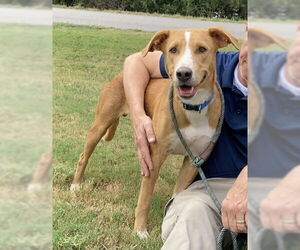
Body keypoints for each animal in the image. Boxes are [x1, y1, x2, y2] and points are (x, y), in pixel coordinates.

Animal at [70, 27, 239, 238]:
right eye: (173, 49)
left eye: (202, 49)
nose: (183, 73)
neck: (192, 108)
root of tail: (120, 75)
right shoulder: (155, 156)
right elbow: (145, 199)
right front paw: (140, 230)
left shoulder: (194, 160)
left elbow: (178, 194)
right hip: (100, 125)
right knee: (83, 156)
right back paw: (76, 185)